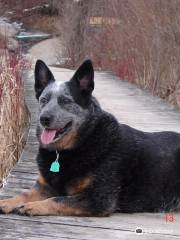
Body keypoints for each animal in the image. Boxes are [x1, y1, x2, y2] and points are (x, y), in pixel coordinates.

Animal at [0, 59, 180, 217]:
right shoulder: (44, 187)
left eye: (66, 101)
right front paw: (7, 202)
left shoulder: (99, 198)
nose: (44, 118)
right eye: (43, 100)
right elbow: (23, 194)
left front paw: (33, 206)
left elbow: (58, 199)